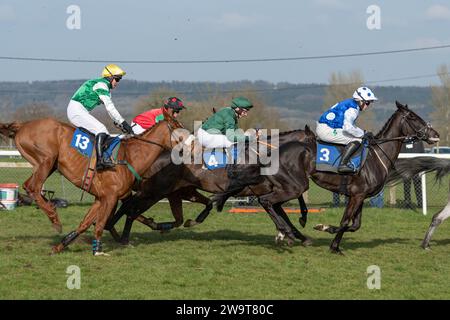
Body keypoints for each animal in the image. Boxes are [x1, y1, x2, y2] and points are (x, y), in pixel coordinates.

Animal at [0, 112, 185, 255]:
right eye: (181, 131)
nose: (189, 149)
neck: (130, 157)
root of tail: (23, 125)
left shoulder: (101, 198)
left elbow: (85, 224)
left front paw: (60, 246)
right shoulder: (111, 197)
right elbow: (101, 224)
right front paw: (97, 250)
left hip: (48, 165)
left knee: (29, 186)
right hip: (46, 160)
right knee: (34, 187)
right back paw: (54, 217)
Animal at [107, 126, 314, 244]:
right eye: (313, 140)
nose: (313, 164)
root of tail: (158, 156)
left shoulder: (270, 192)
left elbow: (285, 212)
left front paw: (299, 234)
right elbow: (281, 211)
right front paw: (290, 233)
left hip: (178, 191)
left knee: (133, 206)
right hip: (155, 191)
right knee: (131, 208)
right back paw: (123, 236)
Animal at [214, 101, 440, 254]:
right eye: (413, 117)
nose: (435, 134)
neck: (377, 155)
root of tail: (273, 152)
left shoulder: (359, 196)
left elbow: (354, 225)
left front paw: (328, 234)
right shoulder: (357, 195)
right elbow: (345, 222)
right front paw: (330, 240)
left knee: (271, 203)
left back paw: (289, 232)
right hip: (296, 186)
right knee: (266, 201)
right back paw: (286, 234)